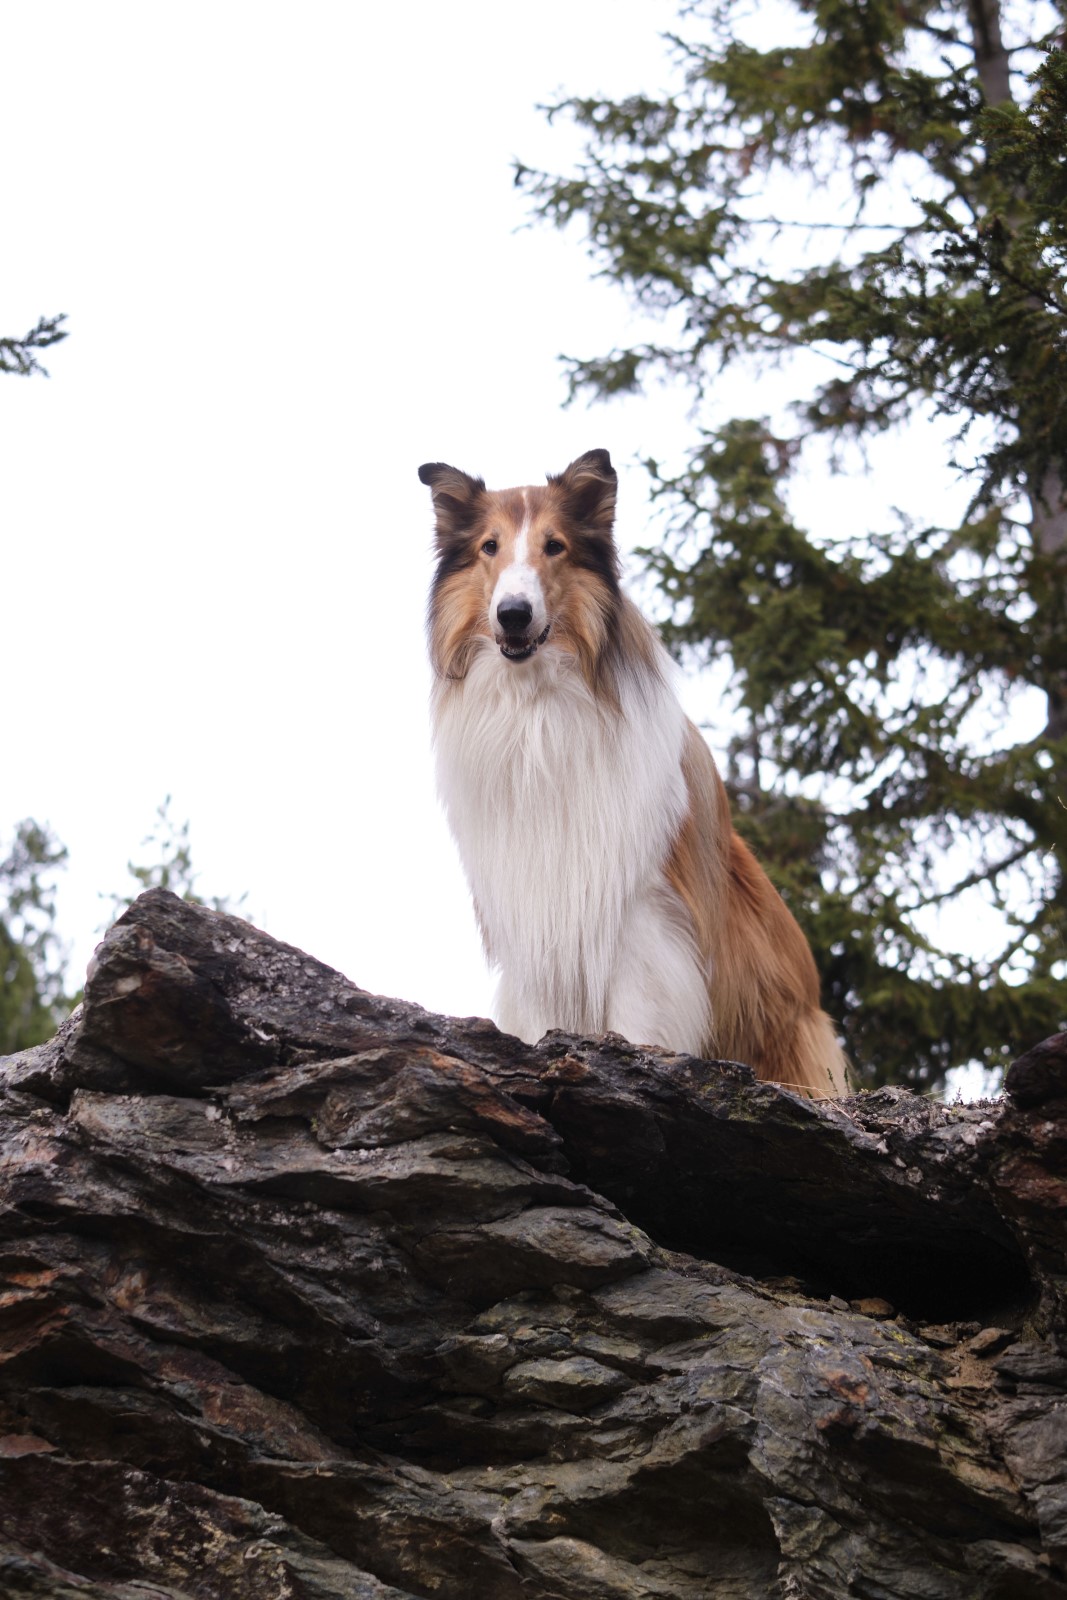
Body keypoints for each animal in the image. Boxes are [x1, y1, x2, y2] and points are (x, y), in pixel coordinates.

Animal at [422, 451, 844, 1100]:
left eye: (555, 546)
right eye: (490, 546)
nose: (514, 615)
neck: (539, 711)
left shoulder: (642, 914)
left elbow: (637, 1013)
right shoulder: (534, 916)